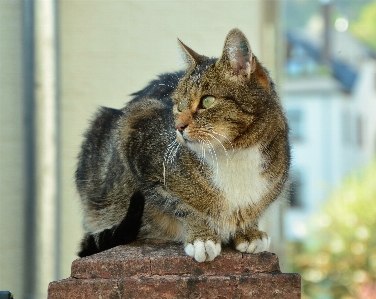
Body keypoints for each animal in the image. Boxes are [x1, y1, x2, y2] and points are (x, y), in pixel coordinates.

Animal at [75, 28, 290, 262]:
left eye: (207, 101)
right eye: (178, 105)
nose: (177, 126)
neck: (233, 153)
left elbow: (254, 209)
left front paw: (249, 231)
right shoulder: (135, 131)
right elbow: (180, 205)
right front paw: (201, 237)